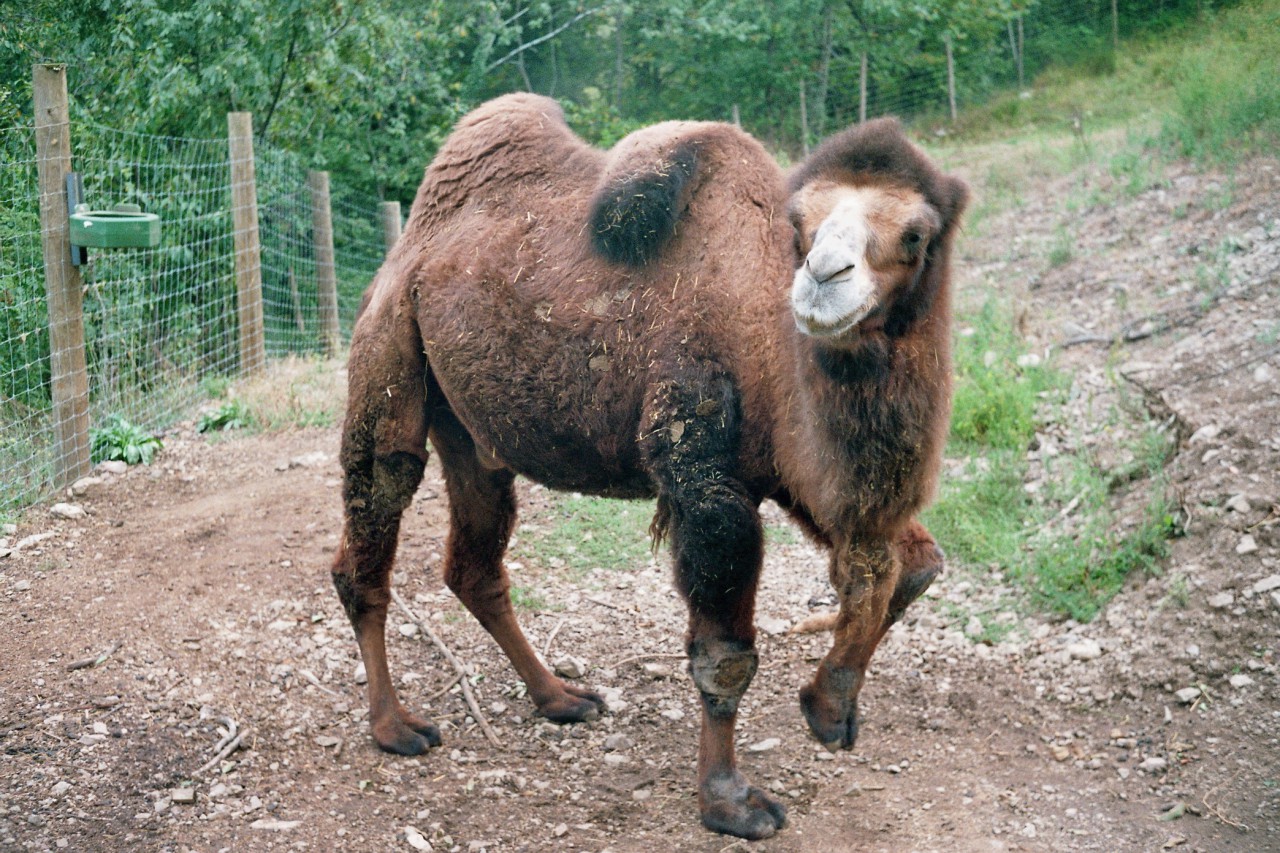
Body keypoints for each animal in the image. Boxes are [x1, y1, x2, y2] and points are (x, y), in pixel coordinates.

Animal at [335, 92, 962, 835]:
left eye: (916, 235)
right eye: (802, 225)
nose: (822, 280)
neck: (769, 333)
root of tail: (407, 250)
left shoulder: (801, 476)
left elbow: (912, 567)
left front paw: (829, 709)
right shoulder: (704, 478)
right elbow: (726, 656)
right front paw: (729, 800)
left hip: (467, 425)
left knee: (475, 562)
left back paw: (559, 696)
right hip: (387, 347)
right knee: (373, 517)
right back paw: (394, 725)